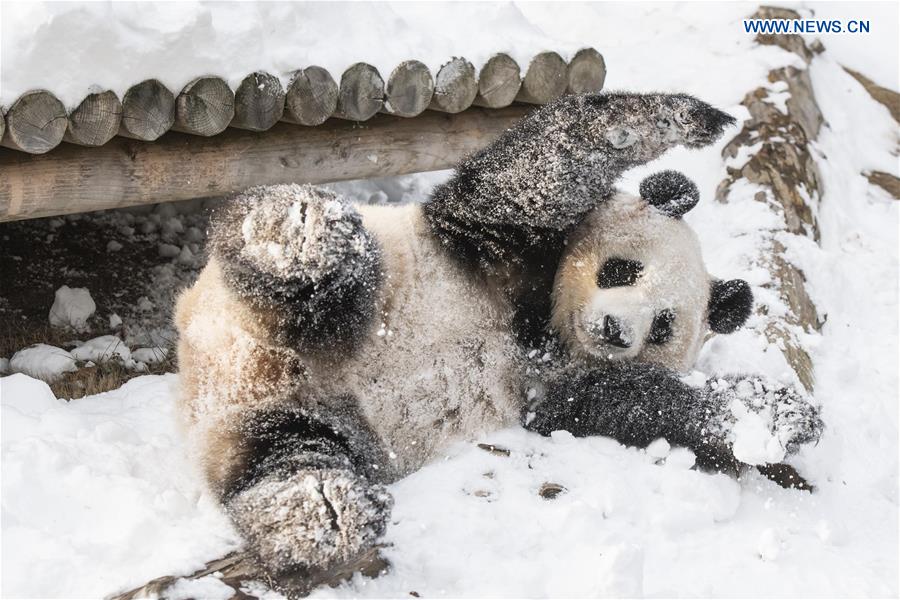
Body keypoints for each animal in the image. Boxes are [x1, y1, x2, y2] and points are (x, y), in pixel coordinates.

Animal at [175, 92, 822, 595]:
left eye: (663, 325)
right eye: (620, 270)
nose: (615, 330)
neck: (540, 326)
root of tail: (228, 363)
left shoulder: (556, 391)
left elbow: (635, 402)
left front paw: (775, 419)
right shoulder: (491, 244)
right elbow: (538, 170)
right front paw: (692, 117)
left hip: (303, 423)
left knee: (282, 457)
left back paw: (325, 511)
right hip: (329, 288)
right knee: (312, 258)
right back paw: (300, 235)